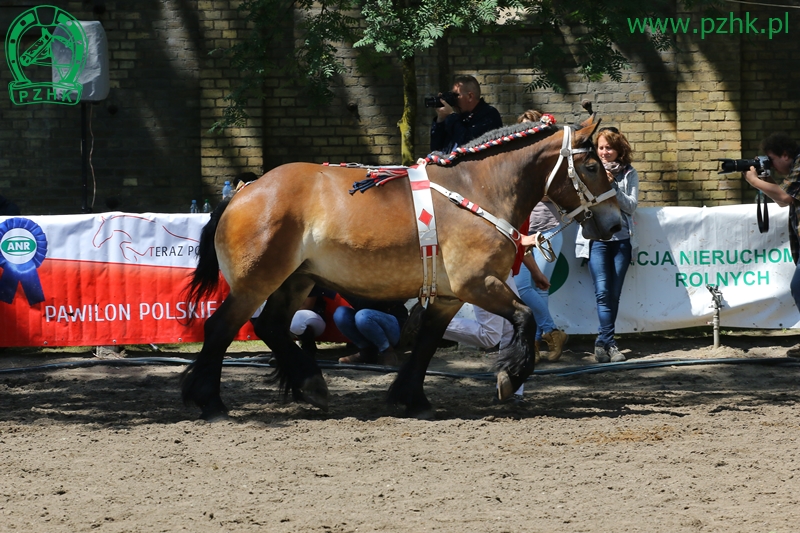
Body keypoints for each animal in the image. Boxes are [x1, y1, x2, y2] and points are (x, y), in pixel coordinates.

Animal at [184, 114, 620, 418]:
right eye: (593, 166)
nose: (616, 223)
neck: (477, 189)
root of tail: (244, 192)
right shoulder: (476, 284)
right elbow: (526, 317)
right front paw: (510, 377)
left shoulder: (448, 296)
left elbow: (426, 343)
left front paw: (410, 398)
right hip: (257, 283)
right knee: (220, 328)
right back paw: (211, 403)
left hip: (296, 280)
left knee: (270, 327)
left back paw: (311, 385)